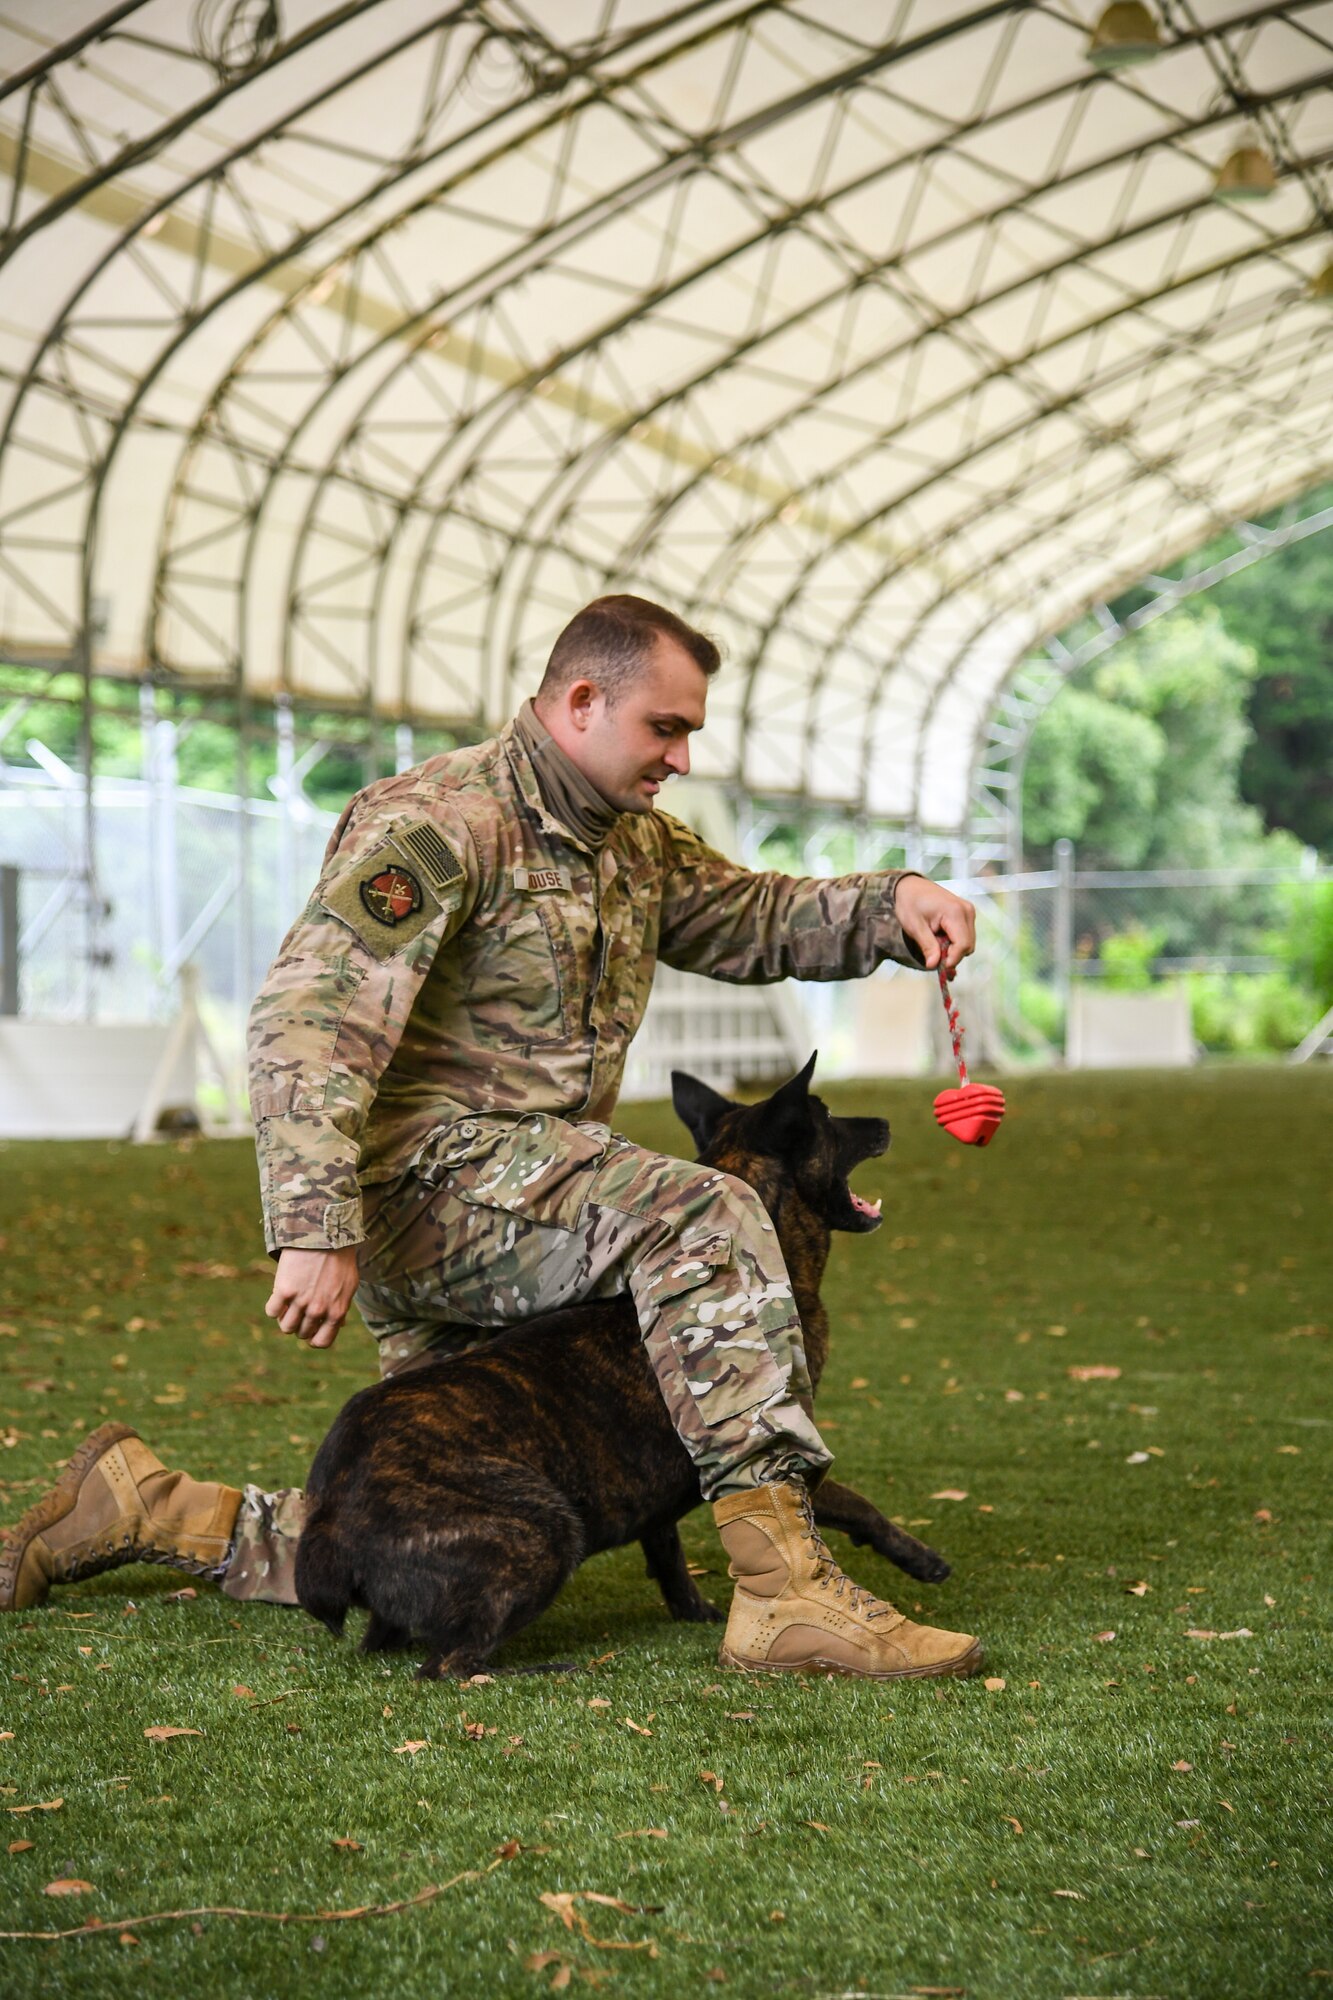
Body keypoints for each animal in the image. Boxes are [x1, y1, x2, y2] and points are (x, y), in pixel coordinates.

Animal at [296, 1056, 948, 1680]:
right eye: (829, 1116)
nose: (884, 1122)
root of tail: (328, 1515)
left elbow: (666, 1548)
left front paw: (693, 1610)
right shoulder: (787, 1444)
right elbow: (851, 1501)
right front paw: (919, 1557)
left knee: (392, 1645)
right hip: (543, 1529)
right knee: (448, 1666)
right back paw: (540, 1672)